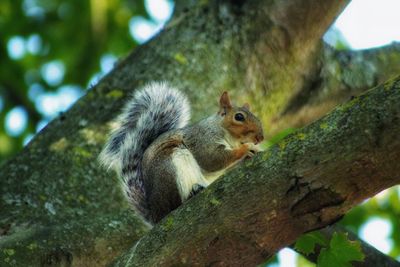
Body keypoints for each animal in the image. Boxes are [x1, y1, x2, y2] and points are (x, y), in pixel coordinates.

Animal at [99, 82, 264, 225]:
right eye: (239, 117)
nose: (260, 138)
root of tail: (156, 214)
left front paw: (253, 151)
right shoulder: (202, 140)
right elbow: (212, 159)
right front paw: (245, 149)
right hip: (171, 164)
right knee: (177, 204)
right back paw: (193, 192)